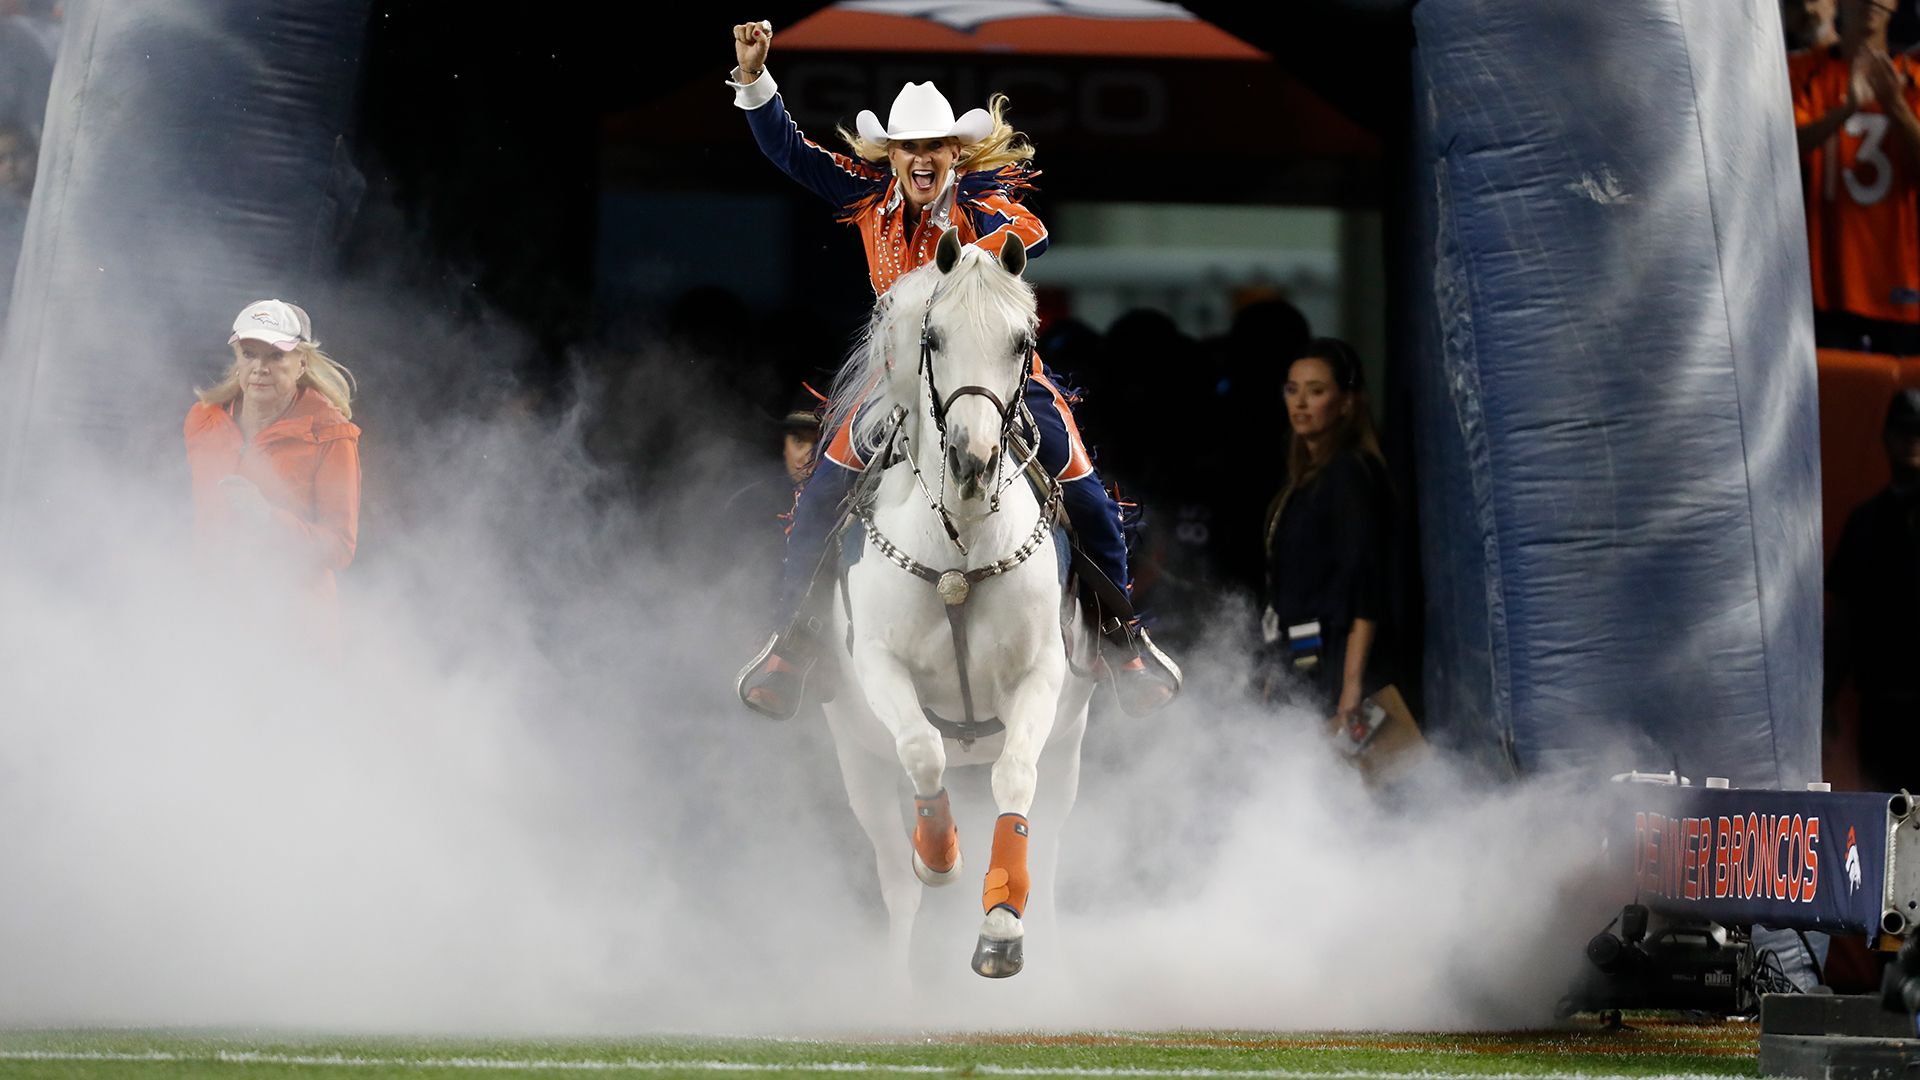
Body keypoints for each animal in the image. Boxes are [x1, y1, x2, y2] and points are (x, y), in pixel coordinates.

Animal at [821, 226, 1098, 976]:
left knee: (1051, 848)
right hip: (857, 760)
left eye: (1021, 340)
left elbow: (1015, 778)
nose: (972, 460)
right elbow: (923, 751)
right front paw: (940, 855)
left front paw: (1001, 927)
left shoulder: (1041, 674)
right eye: (935, 336)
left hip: (1070, 750)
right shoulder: (878, 666)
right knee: (895, 876)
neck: (962, 548)